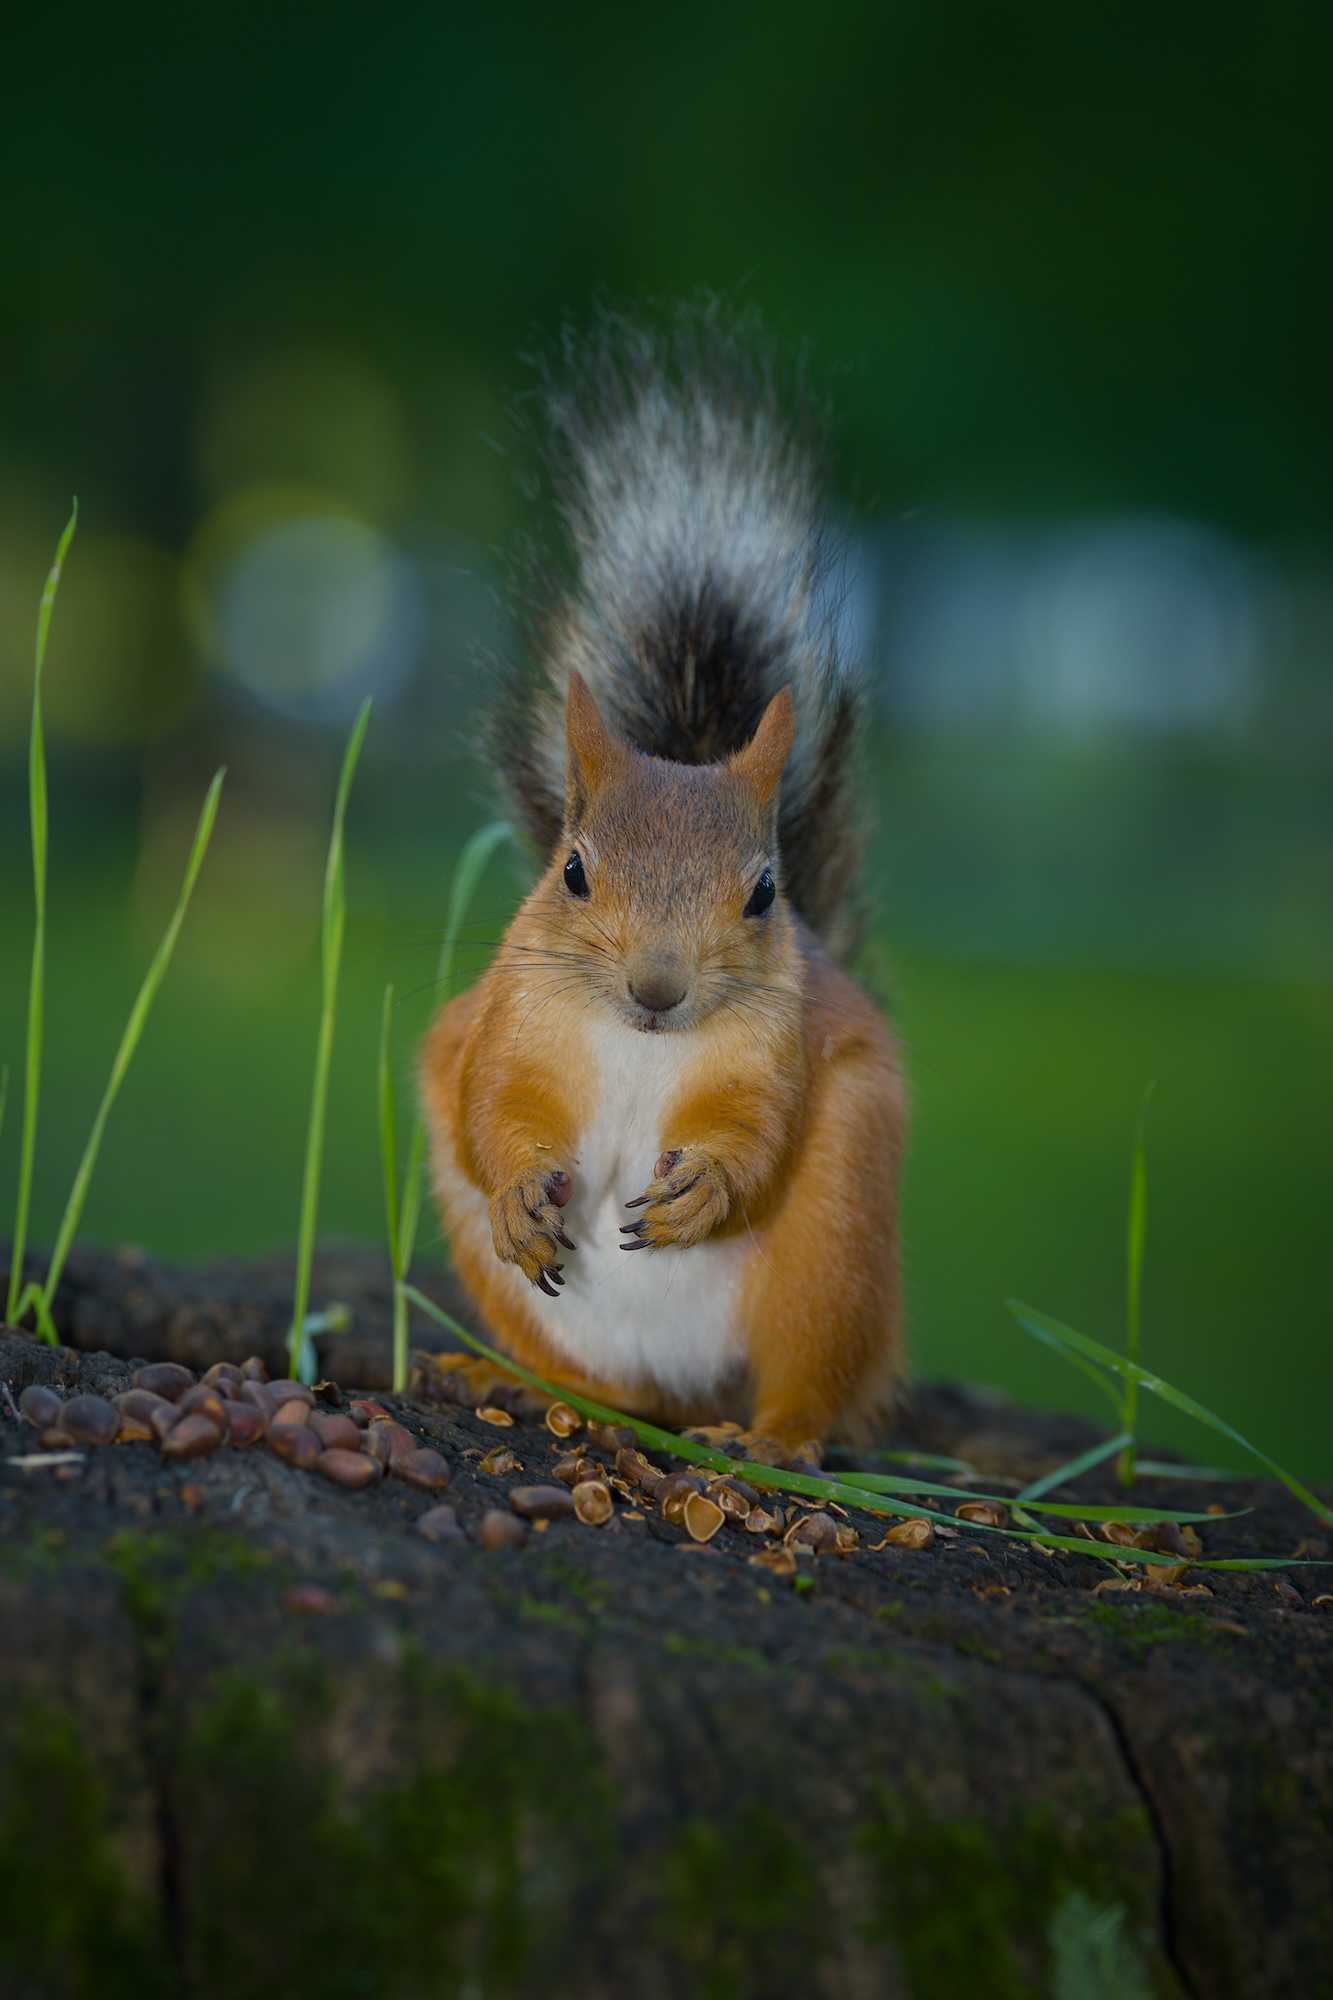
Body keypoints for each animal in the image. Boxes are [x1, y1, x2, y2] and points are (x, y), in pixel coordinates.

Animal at [422, 308, 906, 1464]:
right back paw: (508, 1381)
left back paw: (775, 1439)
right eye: (572, 870)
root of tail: (688, 1395)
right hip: (516, 1290)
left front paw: (707, 1190)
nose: (656, 988)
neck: (641, 1046)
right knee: (602, 1384)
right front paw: (521, 1188)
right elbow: (490, 1109)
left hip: (835, 1243)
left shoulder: (778, 1054)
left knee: (810, 1378)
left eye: (765, 893)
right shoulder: (510, 1025)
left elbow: (759, 1138)